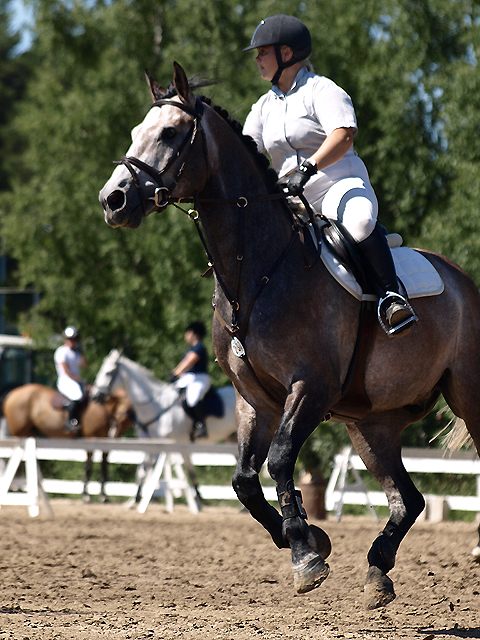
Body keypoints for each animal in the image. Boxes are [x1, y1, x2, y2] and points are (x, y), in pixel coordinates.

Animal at [2, 382, 133, 502]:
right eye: (126, 415)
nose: (115, 434)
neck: (102, 408)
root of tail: (13, 393)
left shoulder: (104, 441)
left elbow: (104, 466)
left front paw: (104, 495)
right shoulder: (91, 439)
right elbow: (88, 466)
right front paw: (86, 495)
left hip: (30, 433)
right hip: (20, 433)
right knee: (18, 458)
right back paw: (18, 488)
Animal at [89, 350, 236, 504]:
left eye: (108, 372)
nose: (94, 396)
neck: (157, 405)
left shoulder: (168, 445)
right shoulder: (153, 445)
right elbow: (142, 471)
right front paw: (135, 499)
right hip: (231, 439)